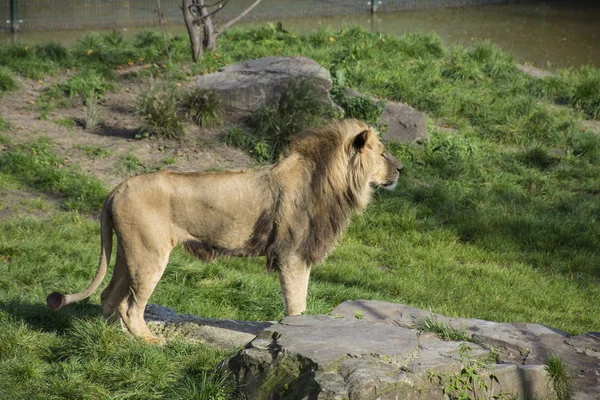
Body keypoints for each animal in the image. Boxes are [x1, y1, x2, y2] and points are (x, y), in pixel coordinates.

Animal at [47, 119, 404, 344]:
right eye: (382, 152)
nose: (401, 169)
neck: (333, 183)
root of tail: (117, 187)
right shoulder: (292, 255)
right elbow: (296, 302)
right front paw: (296, 333)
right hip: (148, 254)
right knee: (132, 306)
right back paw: (149, 341)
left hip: (128, 252)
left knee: (110, 297)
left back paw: (118, 338)